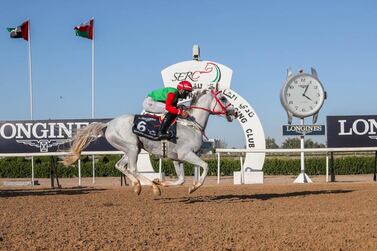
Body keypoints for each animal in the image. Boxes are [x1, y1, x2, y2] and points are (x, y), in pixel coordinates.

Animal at [63, 89, 236, 195]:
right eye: (223, 98)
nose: (234, 111)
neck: (192, 126)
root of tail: (109, 123)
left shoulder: (177, 159)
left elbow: (181, 180)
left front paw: (163, 183)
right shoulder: (186, 154)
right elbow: (205, 166)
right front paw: (193, 188)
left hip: (131, 149)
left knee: (120, 165)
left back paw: (138, 186)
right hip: (132, 148)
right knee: (133, 168)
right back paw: (153, 188)